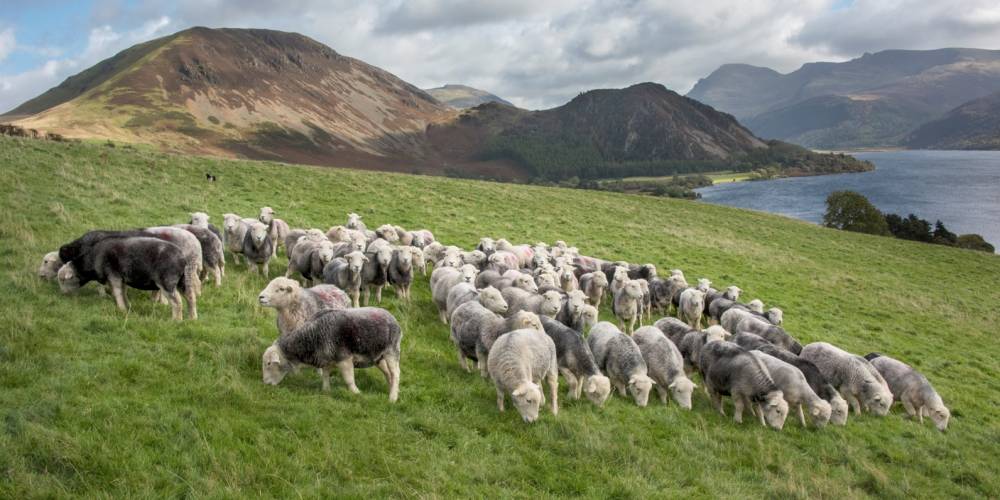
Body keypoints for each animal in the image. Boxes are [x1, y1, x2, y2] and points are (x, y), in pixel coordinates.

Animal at [57, 237, 196, 320]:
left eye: (63, 280)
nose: (63, 294)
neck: (92, 260)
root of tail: (182, 258)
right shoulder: (121, 277)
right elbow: (123, 291)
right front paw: (127, 305)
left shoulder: (114, 275)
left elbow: (117, 292)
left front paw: (121, 309)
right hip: (184, 280)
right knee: (190, 297)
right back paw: (192, 318)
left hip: (167, 281)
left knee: (177, 301)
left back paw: (176, 320)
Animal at [262, 307, 401, 402]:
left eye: (269, 363)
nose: (266, 384)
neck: (313, 336)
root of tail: (392, 317)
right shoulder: (326, 358)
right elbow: (325, 375)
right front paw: (326, 390)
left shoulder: (344, 358)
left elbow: (349, 379)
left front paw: (356, 393)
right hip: (378, 357)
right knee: (388, 373)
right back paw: (391, 389)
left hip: (392, 351)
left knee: (395, 373)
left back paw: (392, 397)